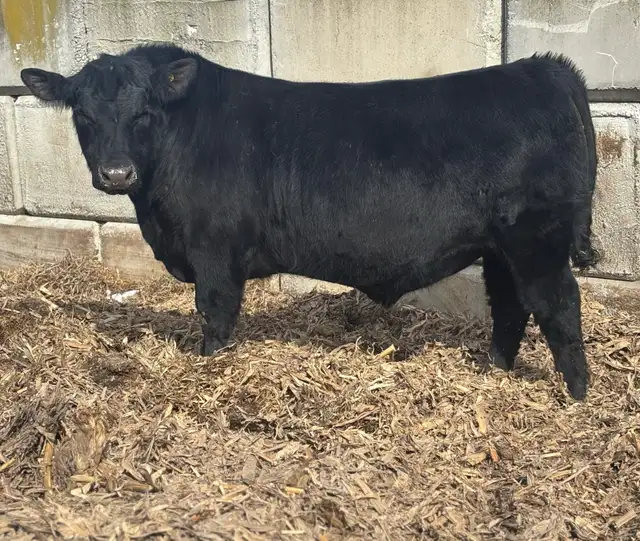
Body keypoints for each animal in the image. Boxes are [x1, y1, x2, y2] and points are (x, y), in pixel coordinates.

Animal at [21, 44, 600, 400]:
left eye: (143, 112)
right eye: (82, 114)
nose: (117, 172)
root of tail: (540, 68)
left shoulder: (214, 250)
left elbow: (215, 312)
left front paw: (211, 363)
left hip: (535, 239)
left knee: (557, 304)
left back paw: (576, 394)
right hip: (499, 246)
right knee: (510, 306)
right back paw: (493, 369)